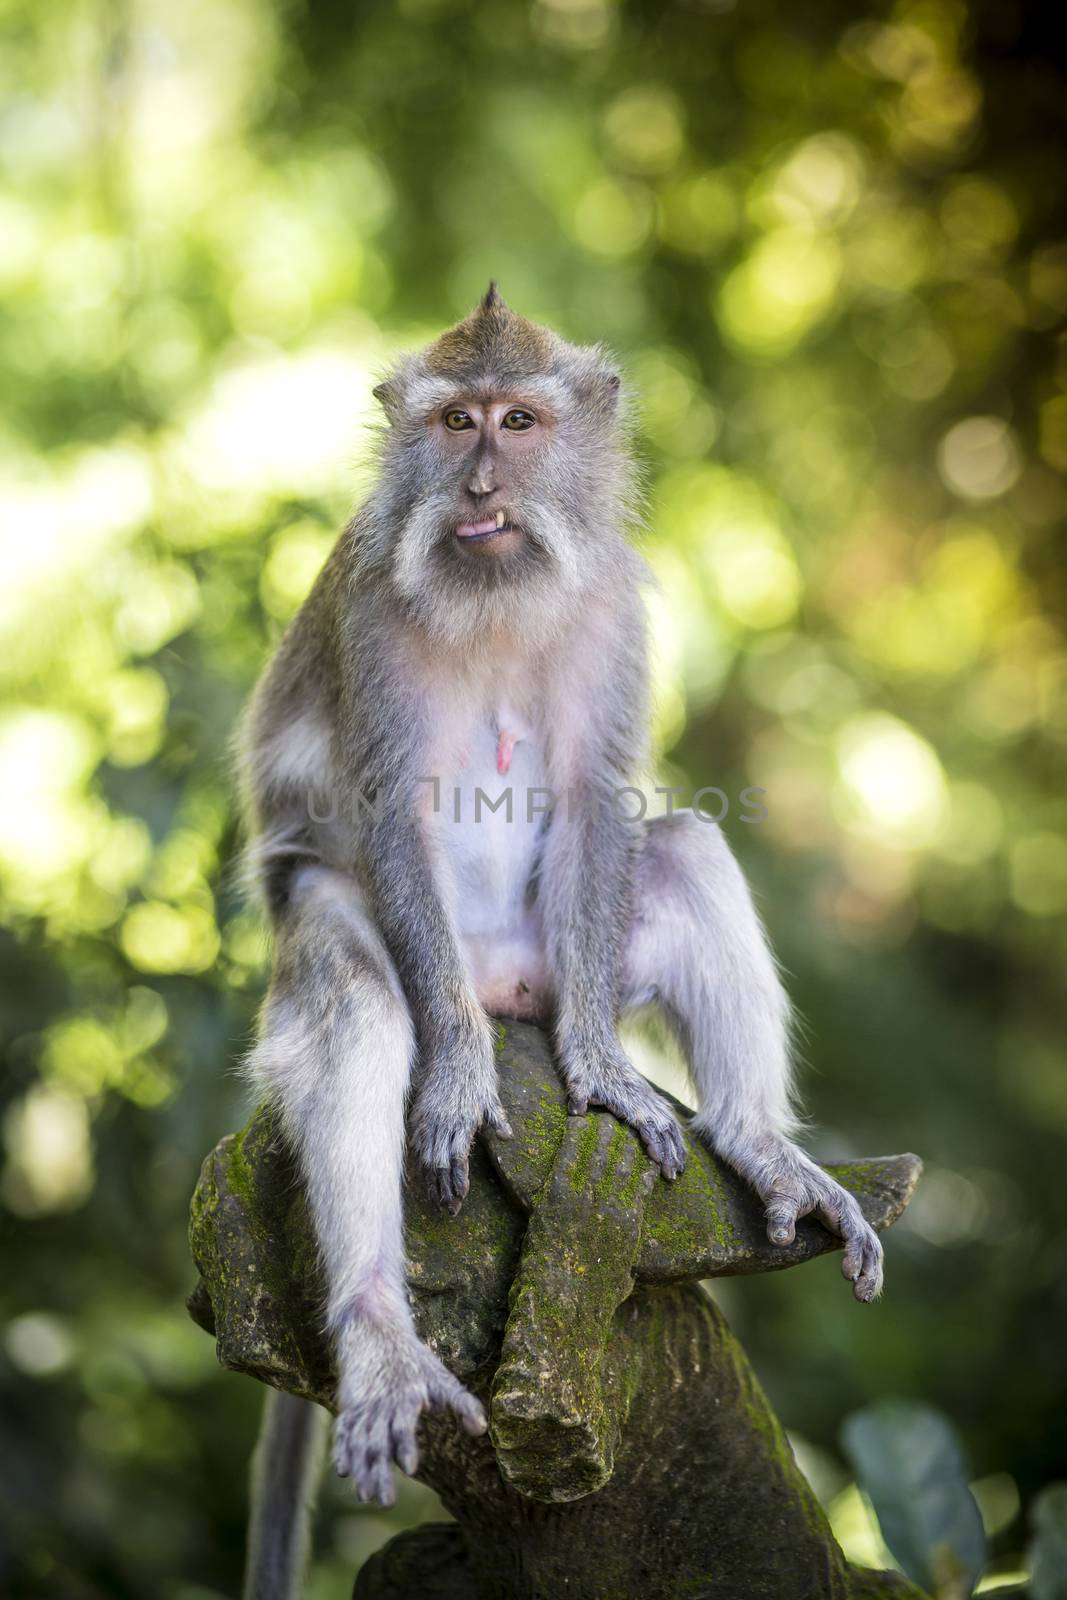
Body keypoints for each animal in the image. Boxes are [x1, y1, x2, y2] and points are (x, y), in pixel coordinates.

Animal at [239, 281, 883, 1593]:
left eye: (520, 421)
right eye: (456, 423)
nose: (482, 486)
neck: (492, 595)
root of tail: (502, 991)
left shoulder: (613, 607)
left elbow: (601, 800)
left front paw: (599, 1072)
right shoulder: (370, 613)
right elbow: (389, 812)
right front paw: (448, 1085)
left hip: (557, 961)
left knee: (683, 846)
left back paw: (756, 1143)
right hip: (378, 944)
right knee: (358, 999)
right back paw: (381, 1326)